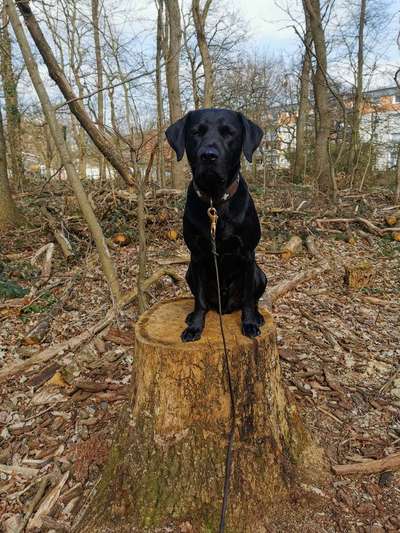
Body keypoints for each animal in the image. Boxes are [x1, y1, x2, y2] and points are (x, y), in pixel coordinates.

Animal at [164, 108, 268, 340]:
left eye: (229, 132)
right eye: (196, 132)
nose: (208, 155)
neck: (215, 202)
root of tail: (225, 307)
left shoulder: (248, 253)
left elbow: (249, 299)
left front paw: (249, 323)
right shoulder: (197, 255)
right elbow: (200, 300)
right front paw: (195, 326)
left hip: (261, 274)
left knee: (252, 298)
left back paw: (257, 316)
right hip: (189, 273)